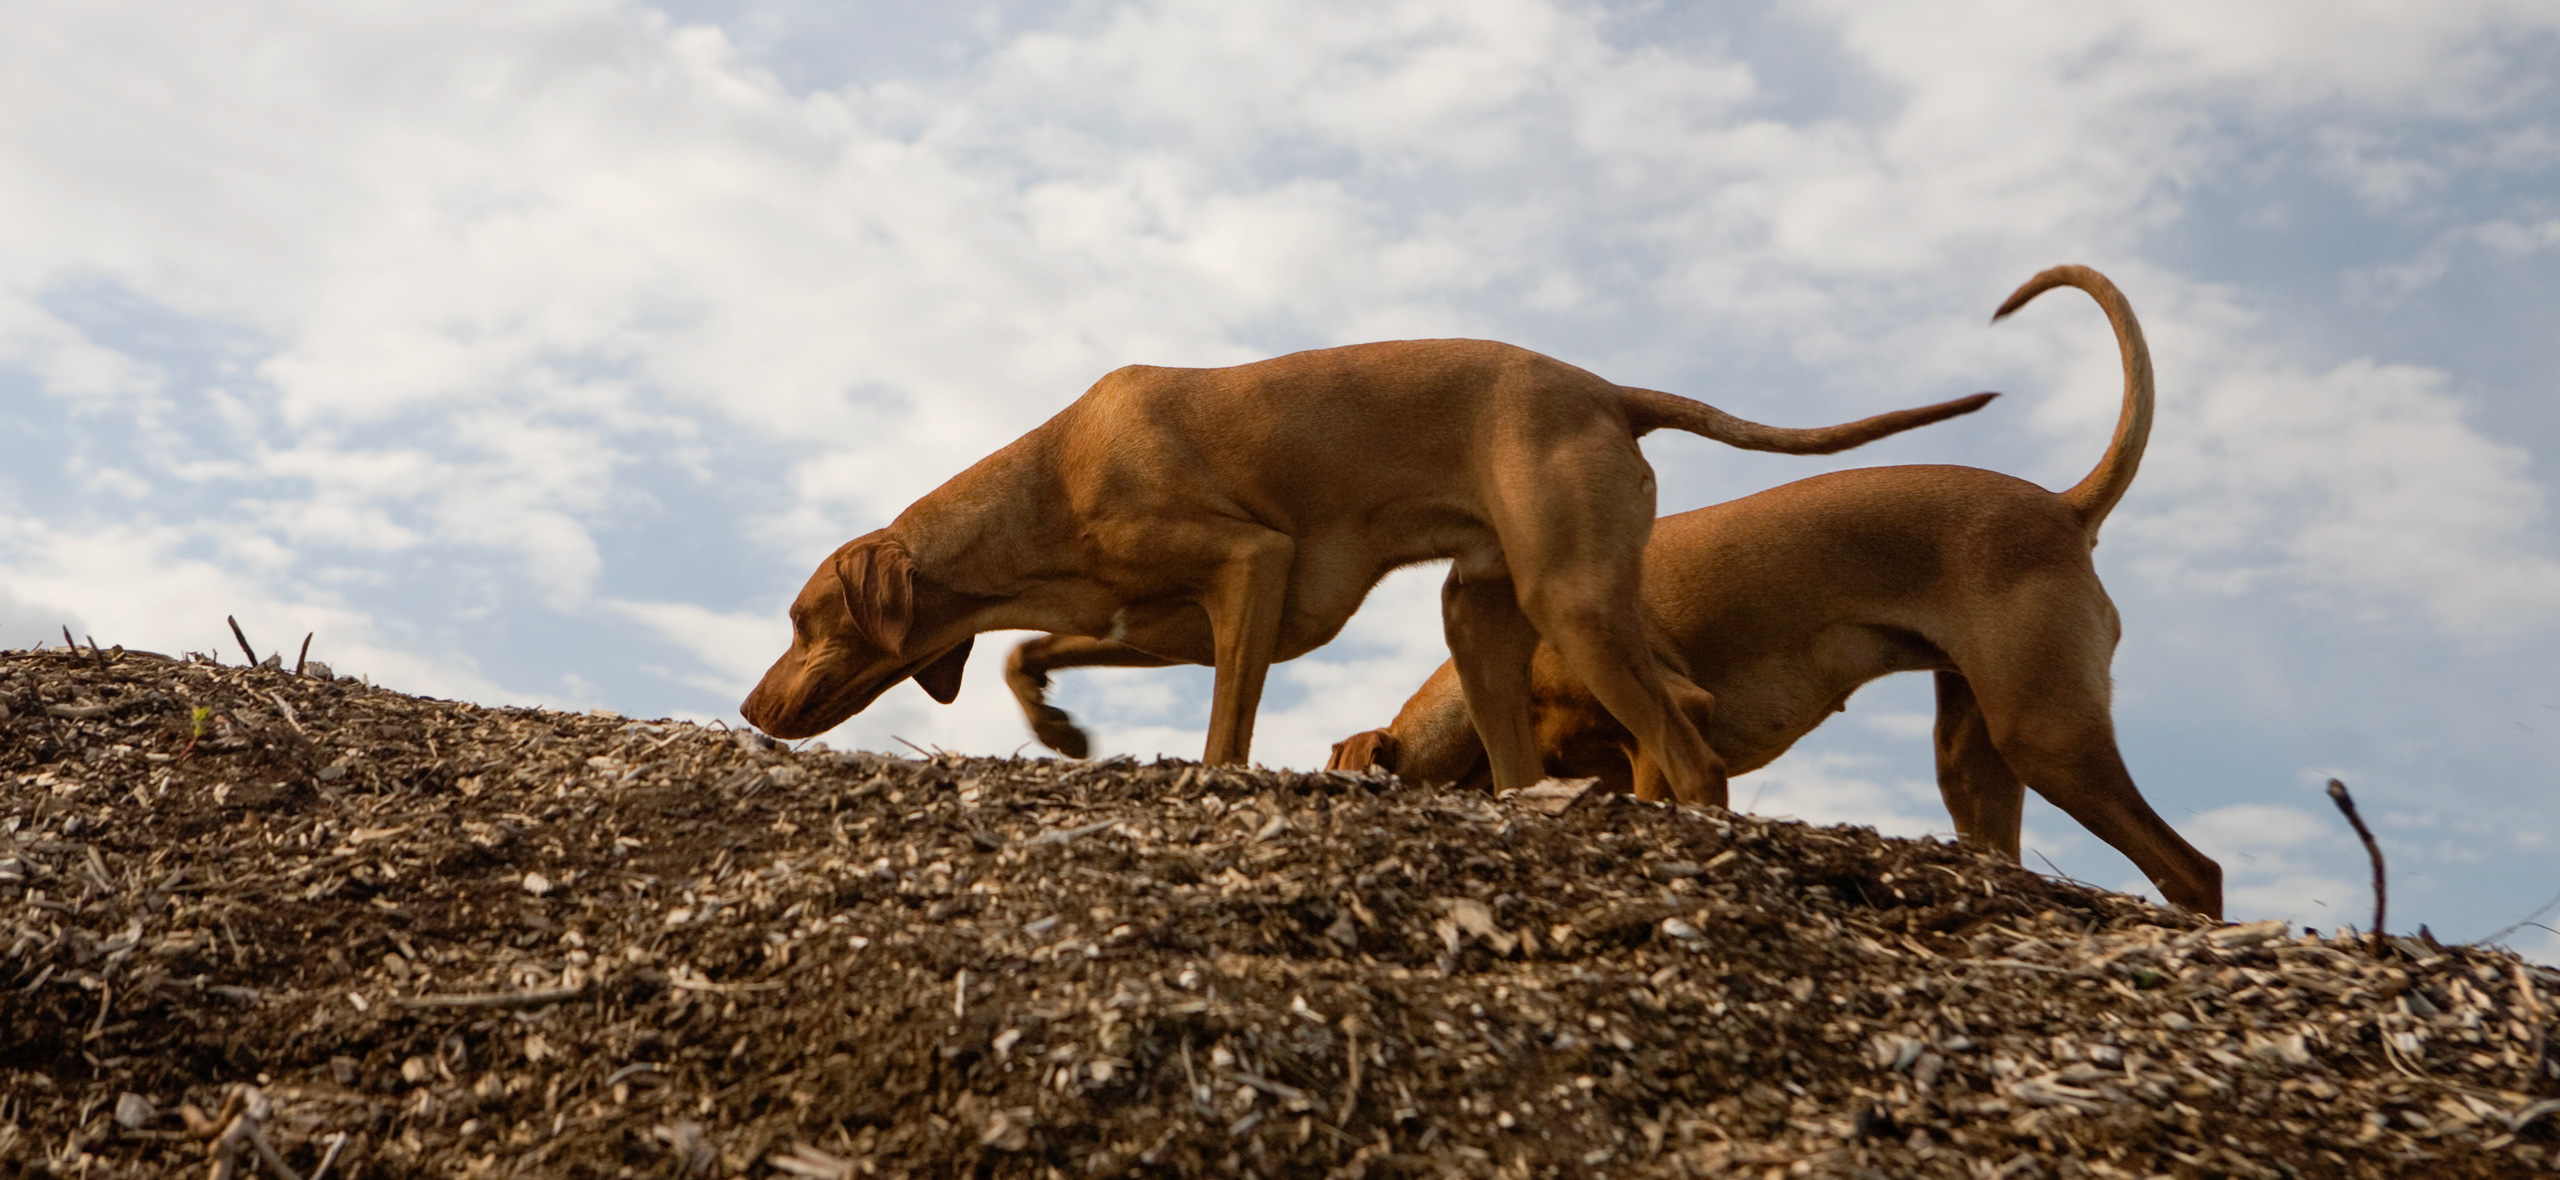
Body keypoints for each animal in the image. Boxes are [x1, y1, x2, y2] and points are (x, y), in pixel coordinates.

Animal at [747, 335, 1986, 798]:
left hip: (1572, 600)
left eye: (803, 621)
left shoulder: (1250, 567)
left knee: (1689, 755)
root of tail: (1604, 389)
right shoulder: (1162, 617)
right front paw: (1057, 727)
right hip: (1477, 614)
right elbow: (1025, 652)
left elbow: (1226, 723)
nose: (752, 710)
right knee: (1523, 757)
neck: (1051, 478)